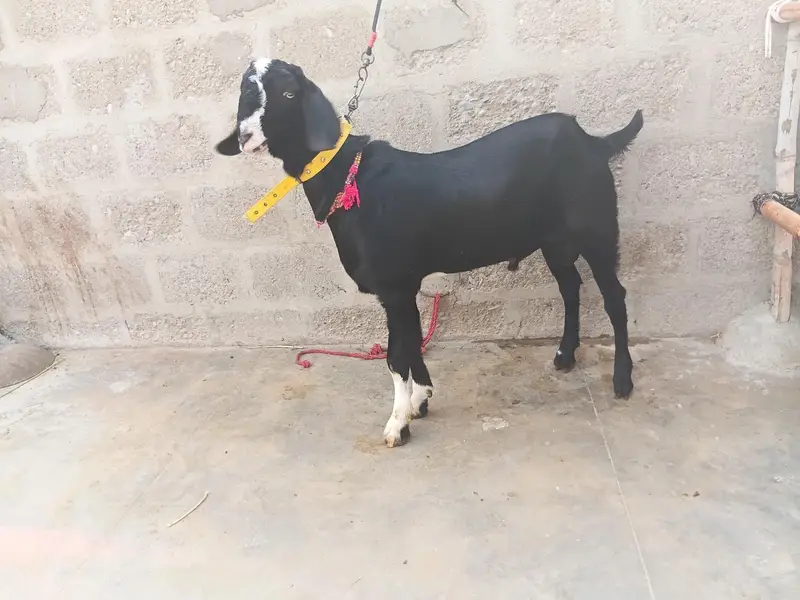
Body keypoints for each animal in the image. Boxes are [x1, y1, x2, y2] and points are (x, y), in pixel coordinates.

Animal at [215, 58, 644, 447]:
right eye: (244, 92)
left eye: (289, 94)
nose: (246, 136)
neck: (350, 179)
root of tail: (593, 142)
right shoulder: (402, 287)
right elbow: (411, 342)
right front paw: (420, 401)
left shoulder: (394, 285)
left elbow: (396, 355)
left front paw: (397, 425)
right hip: (554, 240)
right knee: (570, 287)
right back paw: (565, 355)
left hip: (598, 228)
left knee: (614, 297)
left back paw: (622, 380)